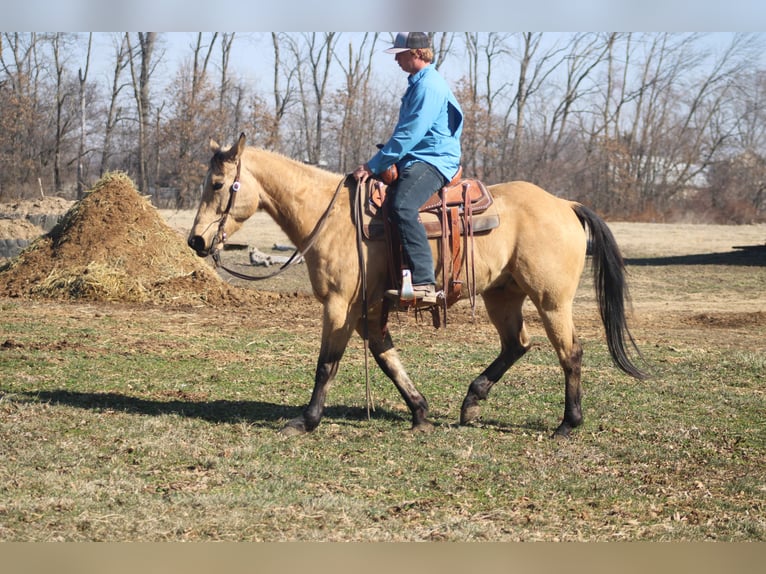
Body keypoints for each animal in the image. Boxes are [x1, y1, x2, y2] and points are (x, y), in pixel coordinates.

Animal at [189, 134, 644, 440]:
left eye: (217, 184)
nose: (195, 241)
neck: (330, 216)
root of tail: (565, 204)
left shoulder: (338, 305)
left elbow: (327, 363)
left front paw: (306, 420)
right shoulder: (368, 309)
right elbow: (386, 357)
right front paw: (420, 411)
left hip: (551, 300)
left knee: (570, 352)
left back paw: (567, 423)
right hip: (502, 295)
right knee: (517, 344)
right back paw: (471, 402)